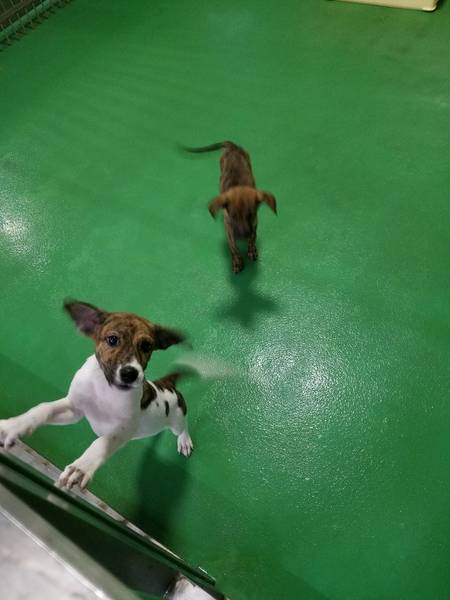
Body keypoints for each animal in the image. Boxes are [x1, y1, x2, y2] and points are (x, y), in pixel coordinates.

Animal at [0, 300, 193, 490]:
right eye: (112, 339)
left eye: (147, 346)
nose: (130, 373)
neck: (105, 388)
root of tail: (166, 384)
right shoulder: (74, 410)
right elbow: (43, 408)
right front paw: (15, 425)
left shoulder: (124, 429)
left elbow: (100, 443)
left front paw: (80, 468)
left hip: (176, 420)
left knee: (183, 426)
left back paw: (184, 441)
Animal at [184, 141, 277, 273]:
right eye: (233, 216)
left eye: (250, 214)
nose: (242, 236)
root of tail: (233, 146)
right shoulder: (228, 225)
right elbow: (233, 246)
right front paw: (237, 261)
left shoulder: (254, 222)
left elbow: (253, 236)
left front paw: (251, 249)